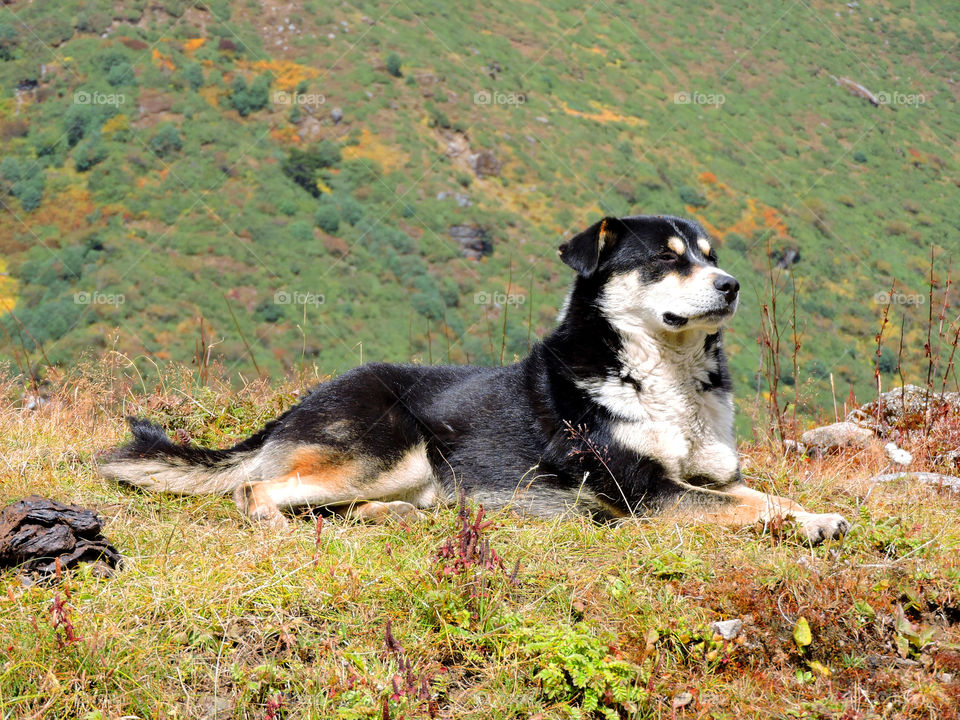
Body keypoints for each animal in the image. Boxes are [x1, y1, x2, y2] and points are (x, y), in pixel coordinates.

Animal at [103, 217, 848, 544]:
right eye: (667, 261)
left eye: (709, 256)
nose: (732, 285)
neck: (660, 374)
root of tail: (292, 410)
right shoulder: (644, 494)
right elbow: (746, 508)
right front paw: (810, 525)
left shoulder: (709, 475)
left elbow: (761, 494)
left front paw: (815, 514)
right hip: (391, 447)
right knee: (256, 489)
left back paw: (395, 516)